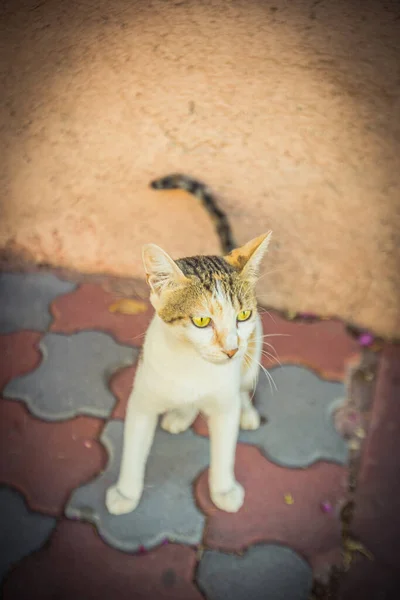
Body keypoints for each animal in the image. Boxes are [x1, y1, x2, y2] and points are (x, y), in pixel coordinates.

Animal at [105, 175, 272, 516]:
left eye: (243, 315)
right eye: (201, 321)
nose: (231, 349)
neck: (193, 366)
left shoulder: (224, 404)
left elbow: (225, 448)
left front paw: (223, 489)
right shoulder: (141, 400)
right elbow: (133, 447)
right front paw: (126, 493)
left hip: (255, 350)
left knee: (244, 383)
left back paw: (246, 410)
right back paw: (181, 414)